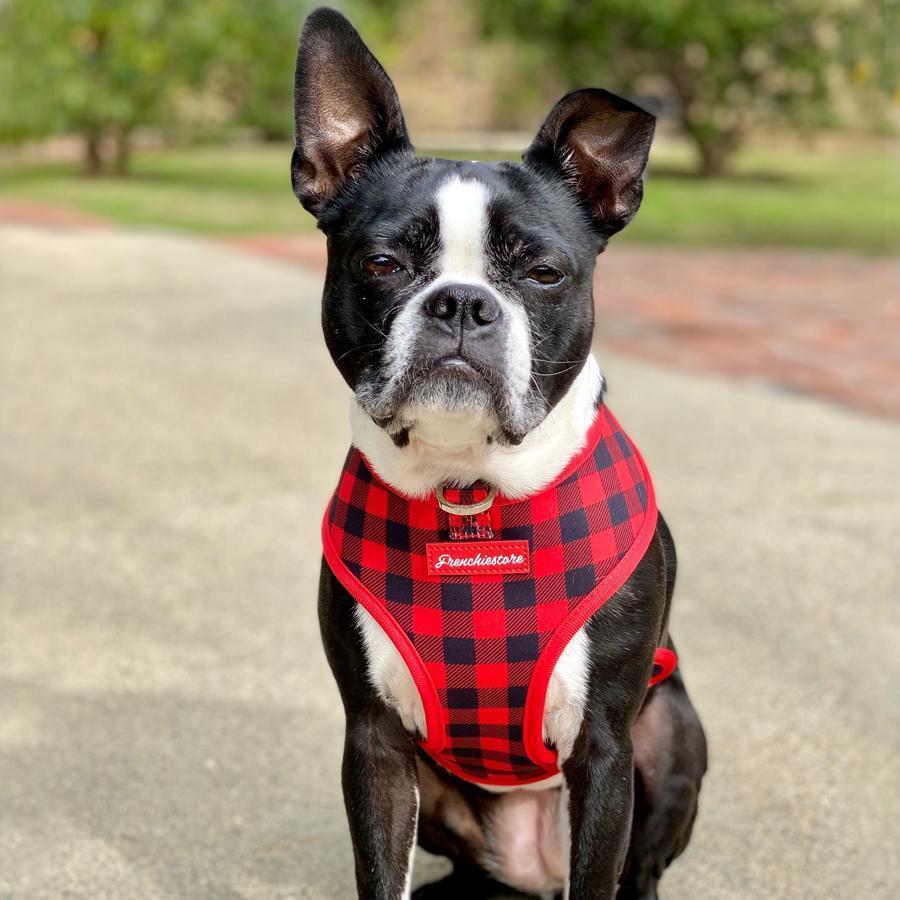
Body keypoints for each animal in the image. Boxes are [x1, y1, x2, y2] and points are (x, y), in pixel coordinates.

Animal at [292, 8, 708, 900]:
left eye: (544, 273)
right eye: (383, 263)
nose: (460, 302)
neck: (470, 493)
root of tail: (531, 869)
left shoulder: (606, 747)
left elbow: (601, 871)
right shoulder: (372, 742)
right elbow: (379, 869)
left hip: (672, 729)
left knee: (639, 864)